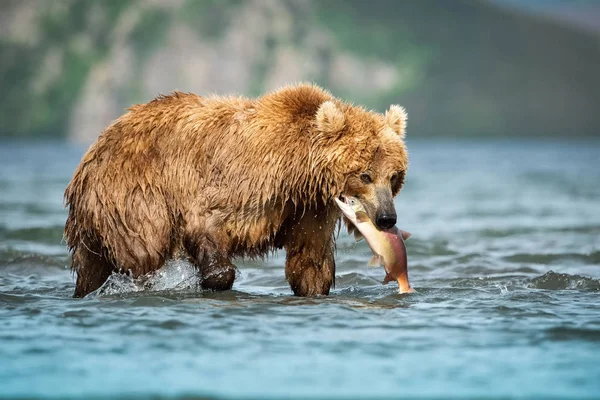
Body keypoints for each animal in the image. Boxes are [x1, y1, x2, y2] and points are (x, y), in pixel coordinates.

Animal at [64, 83, 408, 296]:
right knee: (143, 250)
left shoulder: (309, 209)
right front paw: (213, 279)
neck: (297, 171)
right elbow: (206, 222)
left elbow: (310, 262)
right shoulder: (245, 181)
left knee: (91, 267)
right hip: (132, 193)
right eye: (365, 175)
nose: (387, 218)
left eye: (393, 176)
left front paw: (313, 285)